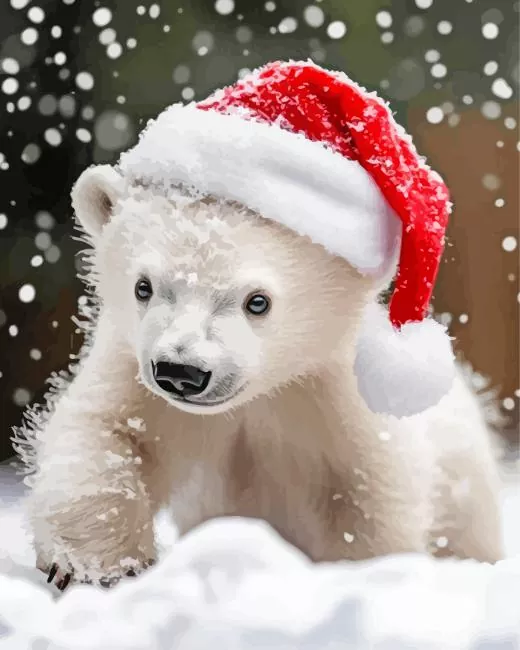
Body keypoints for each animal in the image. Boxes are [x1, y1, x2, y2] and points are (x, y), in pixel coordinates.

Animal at [13, 164, 504, 590]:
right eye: (143, 286)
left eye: (258, 301)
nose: (181, 372)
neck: (266, 392)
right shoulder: (137, 378)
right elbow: (106, 432)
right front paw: (95, 567)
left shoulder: (336, 398)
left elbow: (370, 496)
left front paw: (361, 573)